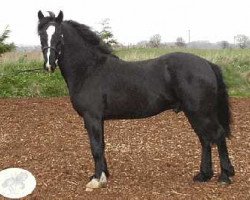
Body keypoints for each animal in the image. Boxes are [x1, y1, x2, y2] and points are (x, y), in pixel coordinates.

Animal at [37, 10, 234, 189]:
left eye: (59, 35)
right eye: (41, 34)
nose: (49, 65)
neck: (89, 69)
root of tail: (207, 64)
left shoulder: (92, 117)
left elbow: (96, 147)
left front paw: (96, 180)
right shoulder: (98, 119)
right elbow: (102, 145)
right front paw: (103, 175)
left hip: (200, 111)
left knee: (217, 135)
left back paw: (225, 176)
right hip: (193, 112)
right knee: (205, 139)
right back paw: (204, 175)